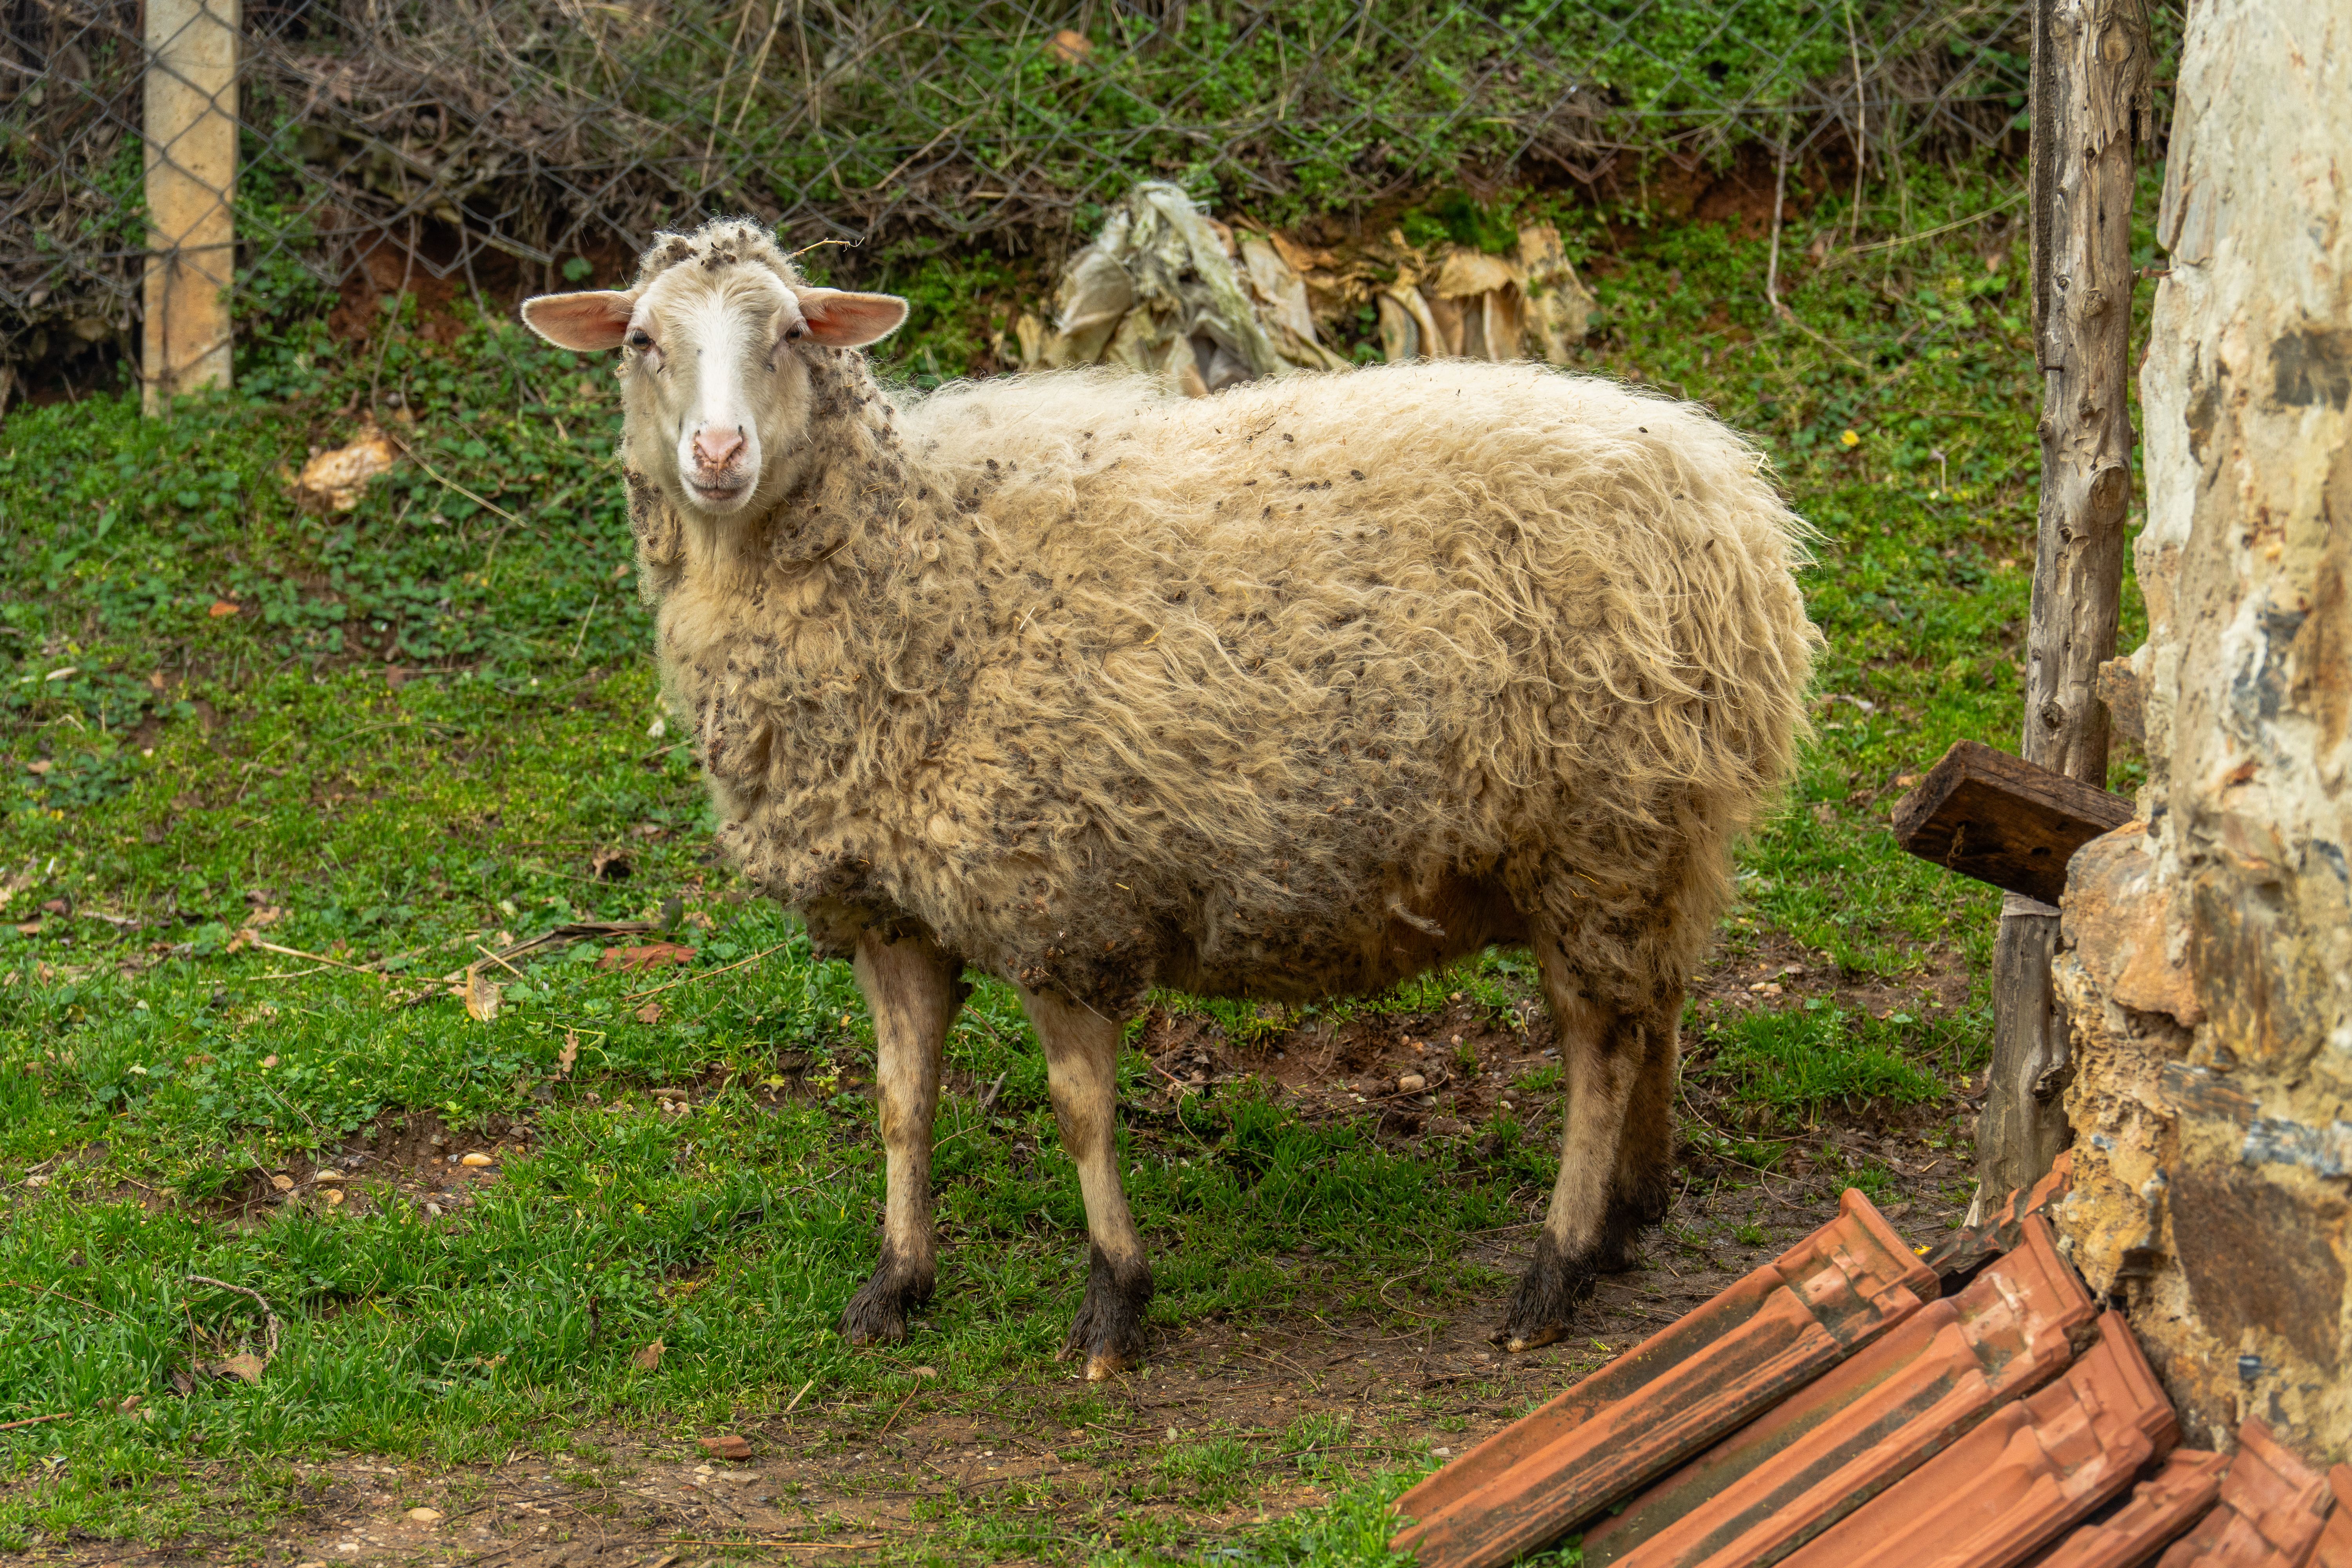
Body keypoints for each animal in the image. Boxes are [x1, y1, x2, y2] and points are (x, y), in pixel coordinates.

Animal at [521, 218, 1817, 1381]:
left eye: (790, 332)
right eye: (641, 340)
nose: (717, 454)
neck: (908, 557)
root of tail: (1733, 503)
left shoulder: (1053, 892)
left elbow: (1078, 1111)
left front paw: (1114, 1302)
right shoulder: (890, 907)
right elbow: (900, 1103)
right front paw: (895, 1285)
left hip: (1597, 822)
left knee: (1601, 1043)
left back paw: (1554, 1272)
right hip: (1653, 830)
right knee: (1655, 1004)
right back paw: (1631, 1213)